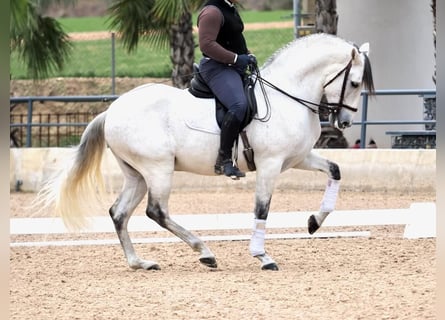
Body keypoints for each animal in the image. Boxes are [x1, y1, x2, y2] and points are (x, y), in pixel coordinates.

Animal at [38, 33, 372, 272]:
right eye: (355, 83)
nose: (344, 122)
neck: (288, 96)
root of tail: (112, 110)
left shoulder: (298, 158)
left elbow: (335, 170)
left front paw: (314, 222)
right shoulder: (270, 163)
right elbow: (262, 209)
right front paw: (262, 256)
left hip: (137, 175)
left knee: (119, 213)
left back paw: (140, 263)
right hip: (158, 169)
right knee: (156, 211)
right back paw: (205, 252)